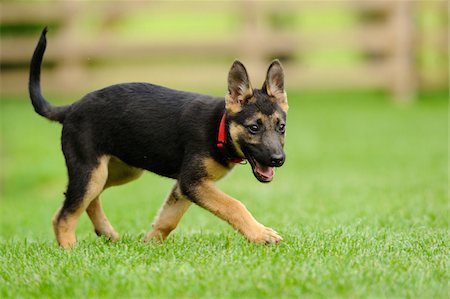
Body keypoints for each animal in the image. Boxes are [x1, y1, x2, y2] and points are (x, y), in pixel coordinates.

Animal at [29, 28, 288, 248]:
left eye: (281, 127)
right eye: (253, 128)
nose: (278, 159)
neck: (220, 128)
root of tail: (71, 107)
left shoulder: (185, 186)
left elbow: (169, 218)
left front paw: (150, 243)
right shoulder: (192, 182)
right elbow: (234, 205)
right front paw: (261, 234)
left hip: (119, 170)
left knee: (86, 200)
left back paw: (106, 232)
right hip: (91, 170)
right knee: (64, 214)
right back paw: (69, 249)